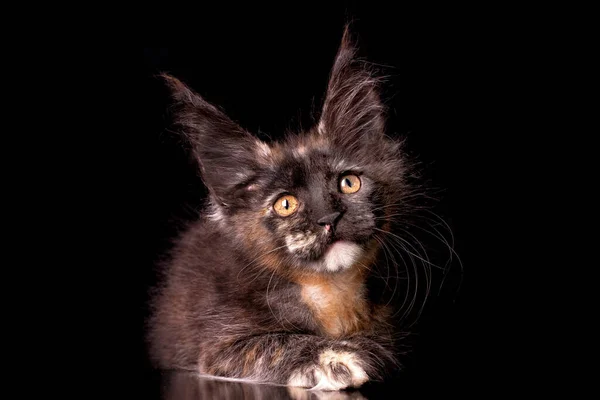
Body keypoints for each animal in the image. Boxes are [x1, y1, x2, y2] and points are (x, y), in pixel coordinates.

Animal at [148, 28, 424, 390]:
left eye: (348, 183)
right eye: (286, 204)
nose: (329, 219)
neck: (328, 291)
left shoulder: (389, 324)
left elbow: (384, 342)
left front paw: (364, 348)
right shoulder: (217, 346)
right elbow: (273, 343)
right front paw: (333, 357)